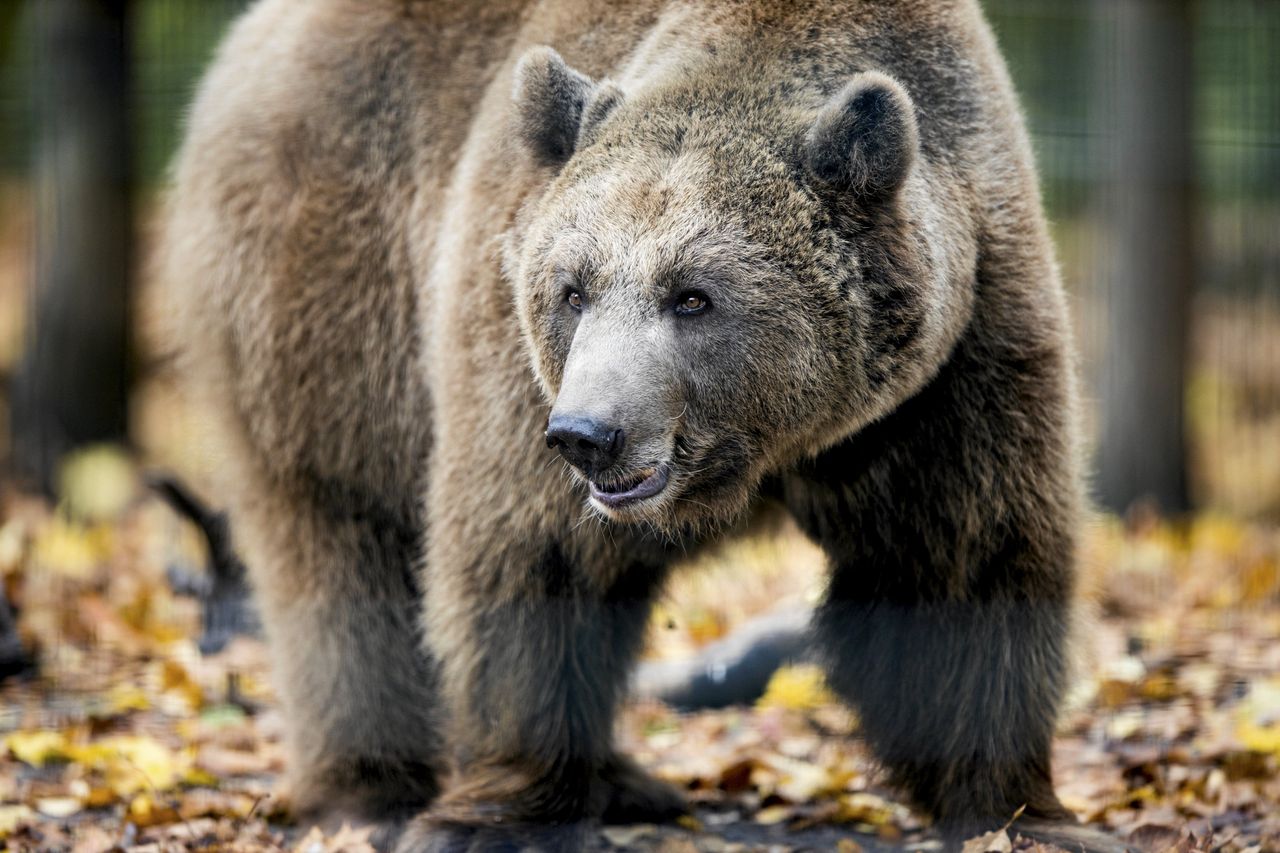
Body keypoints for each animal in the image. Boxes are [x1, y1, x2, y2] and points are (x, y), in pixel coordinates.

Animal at [162, 0, 1121, 845]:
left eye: (693, 295)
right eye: (572, 287)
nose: (589, 433)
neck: (772, 447)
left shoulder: (950, 364)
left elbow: (965, 560)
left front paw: (1023, 811)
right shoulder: (509, 356)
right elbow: (533, 556)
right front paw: (492, 816)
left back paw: (626, 781)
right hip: (333, 299)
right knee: (340, 537)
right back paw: (372, 791)